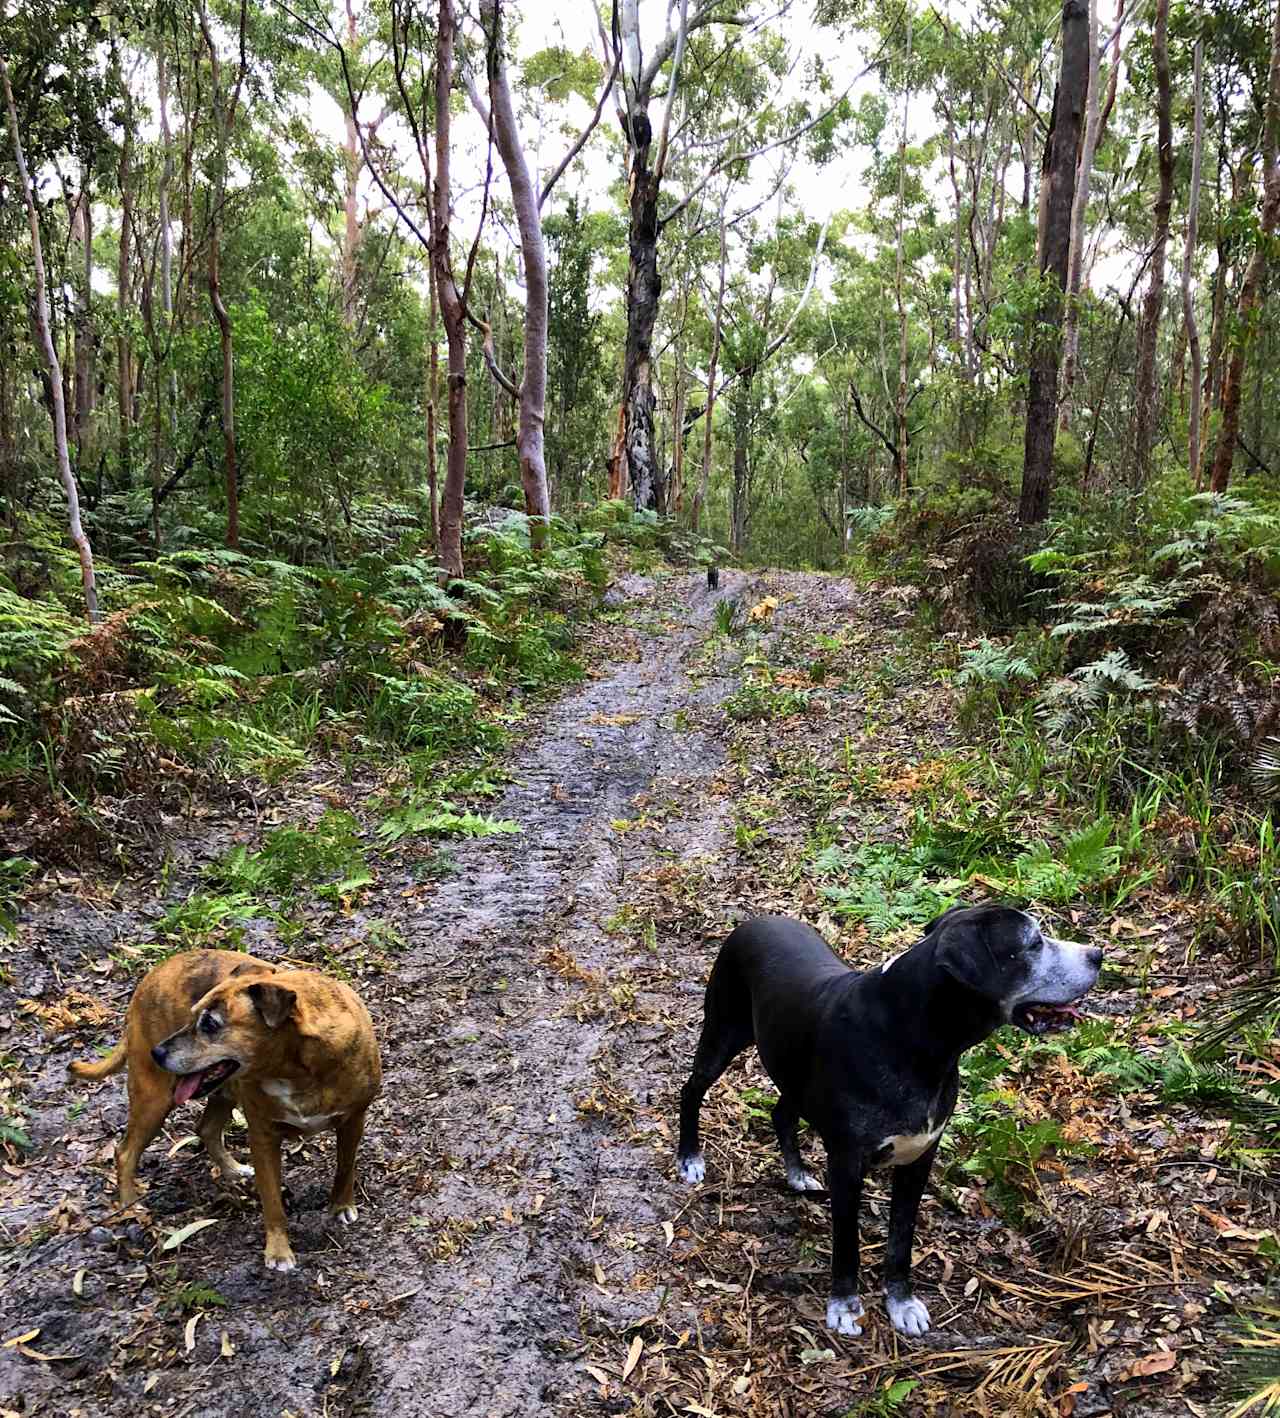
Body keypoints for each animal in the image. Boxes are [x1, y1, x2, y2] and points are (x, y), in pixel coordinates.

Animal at [674, 913, 1105, 1332]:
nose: (1098, 954)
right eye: (1032, 944)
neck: (914, 1038)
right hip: (722, 1033)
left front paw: (902, 1303)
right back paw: (690, 1158)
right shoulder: (847, 1165)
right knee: (691, 1089)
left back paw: (796, 1174)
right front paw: (845, 1305)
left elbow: (901, 1239)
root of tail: (751, 920)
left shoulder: (918, 1160)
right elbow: (847, 1243)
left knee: (781, 1112)